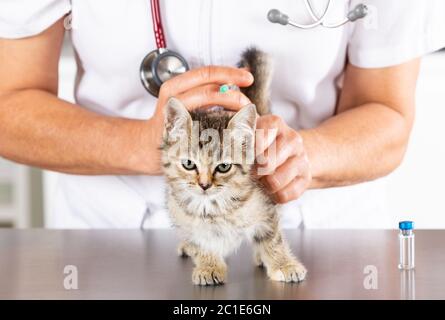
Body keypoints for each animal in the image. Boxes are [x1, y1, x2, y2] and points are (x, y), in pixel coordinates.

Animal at [161, 47, 306, 284]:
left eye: (223, 167)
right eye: (189, 164)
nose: (204, 185)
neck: (213, 207)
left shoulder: (267, 209)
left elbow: (273, 238)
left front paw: (284, 264)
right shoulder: (186, 221)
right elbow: (200, 242)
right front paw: (209, 266)